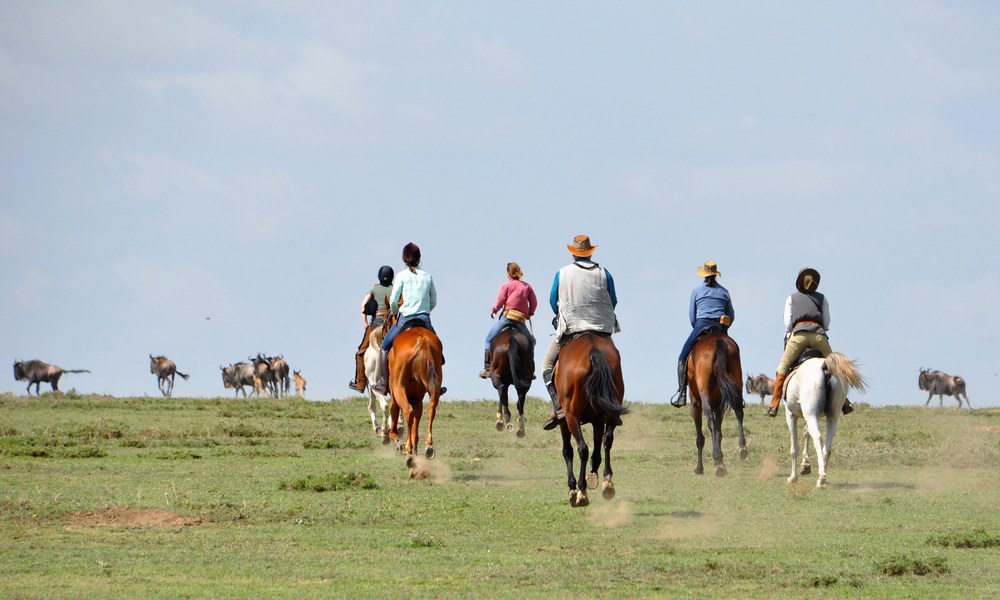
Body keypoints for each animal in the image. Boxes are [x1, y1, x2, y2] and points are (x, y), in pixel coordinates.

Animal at [384, 324, 444, 478]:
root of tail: (422, 341)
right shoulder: (417, 399)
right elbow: (415, 428)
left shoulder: (395, 395)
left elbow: (395, 414)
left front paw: (399, 442)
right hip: (435, 384)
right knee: (431, 409)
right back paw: (428, 447)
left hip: (398, 388)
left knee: (407, 411)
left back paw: (409, 455)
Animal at [552, 330, 628, 508]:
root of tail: (594, 351)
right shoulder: (598, 420)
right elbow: (598, 451)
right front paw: (594, 476)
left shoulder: (565, 420)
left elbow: (568, 451)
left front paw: (573, 489)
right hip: (610, 412)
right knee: (607, 440)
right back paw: (608, 484)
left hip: (571, 416)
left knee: (582, 448)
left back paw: (581, 492)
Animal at [688, 330, 752, 476]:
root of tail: (719, 340)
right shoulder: (719, 405)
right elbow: (719, 432)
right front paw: (720, 462)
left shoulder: (695, 403)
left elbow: (700, 438)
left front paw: (700, 468)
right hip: (736, 382)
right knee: (739, 411)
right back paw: (742, 448)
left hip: (704, 394)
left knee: (710, 421)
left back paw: (717, 460)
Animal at [780, 354, 868, 490]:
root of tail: (825, 366)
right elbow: (806, 433)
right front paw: (805, 465)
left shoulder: (790, 415)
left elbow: (794, 449)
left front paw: (793, 478)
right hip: (832, 417)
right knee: (827, 446)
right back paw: (822, 479)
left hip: (811, 415)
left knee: (817, 437)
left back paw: (821, 477)